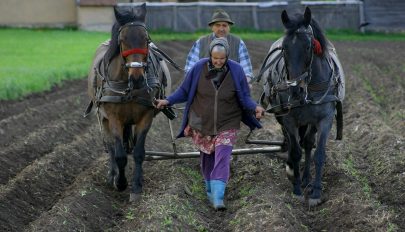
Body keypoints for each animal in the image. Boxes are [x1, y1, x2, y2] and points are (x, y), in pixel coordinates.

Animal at [258, 7, 344, 207]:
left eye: (308, 46)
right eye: (285, 48)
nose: (295, 89)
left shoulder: (325, 119)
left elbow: (318, 153)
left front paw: (316, 192)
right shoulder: (289, 119)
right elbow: (296, 151)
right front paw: (296, 189)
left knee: (308, 143)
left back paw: (306, 179)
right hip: (282, 115)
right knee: (293, 143)